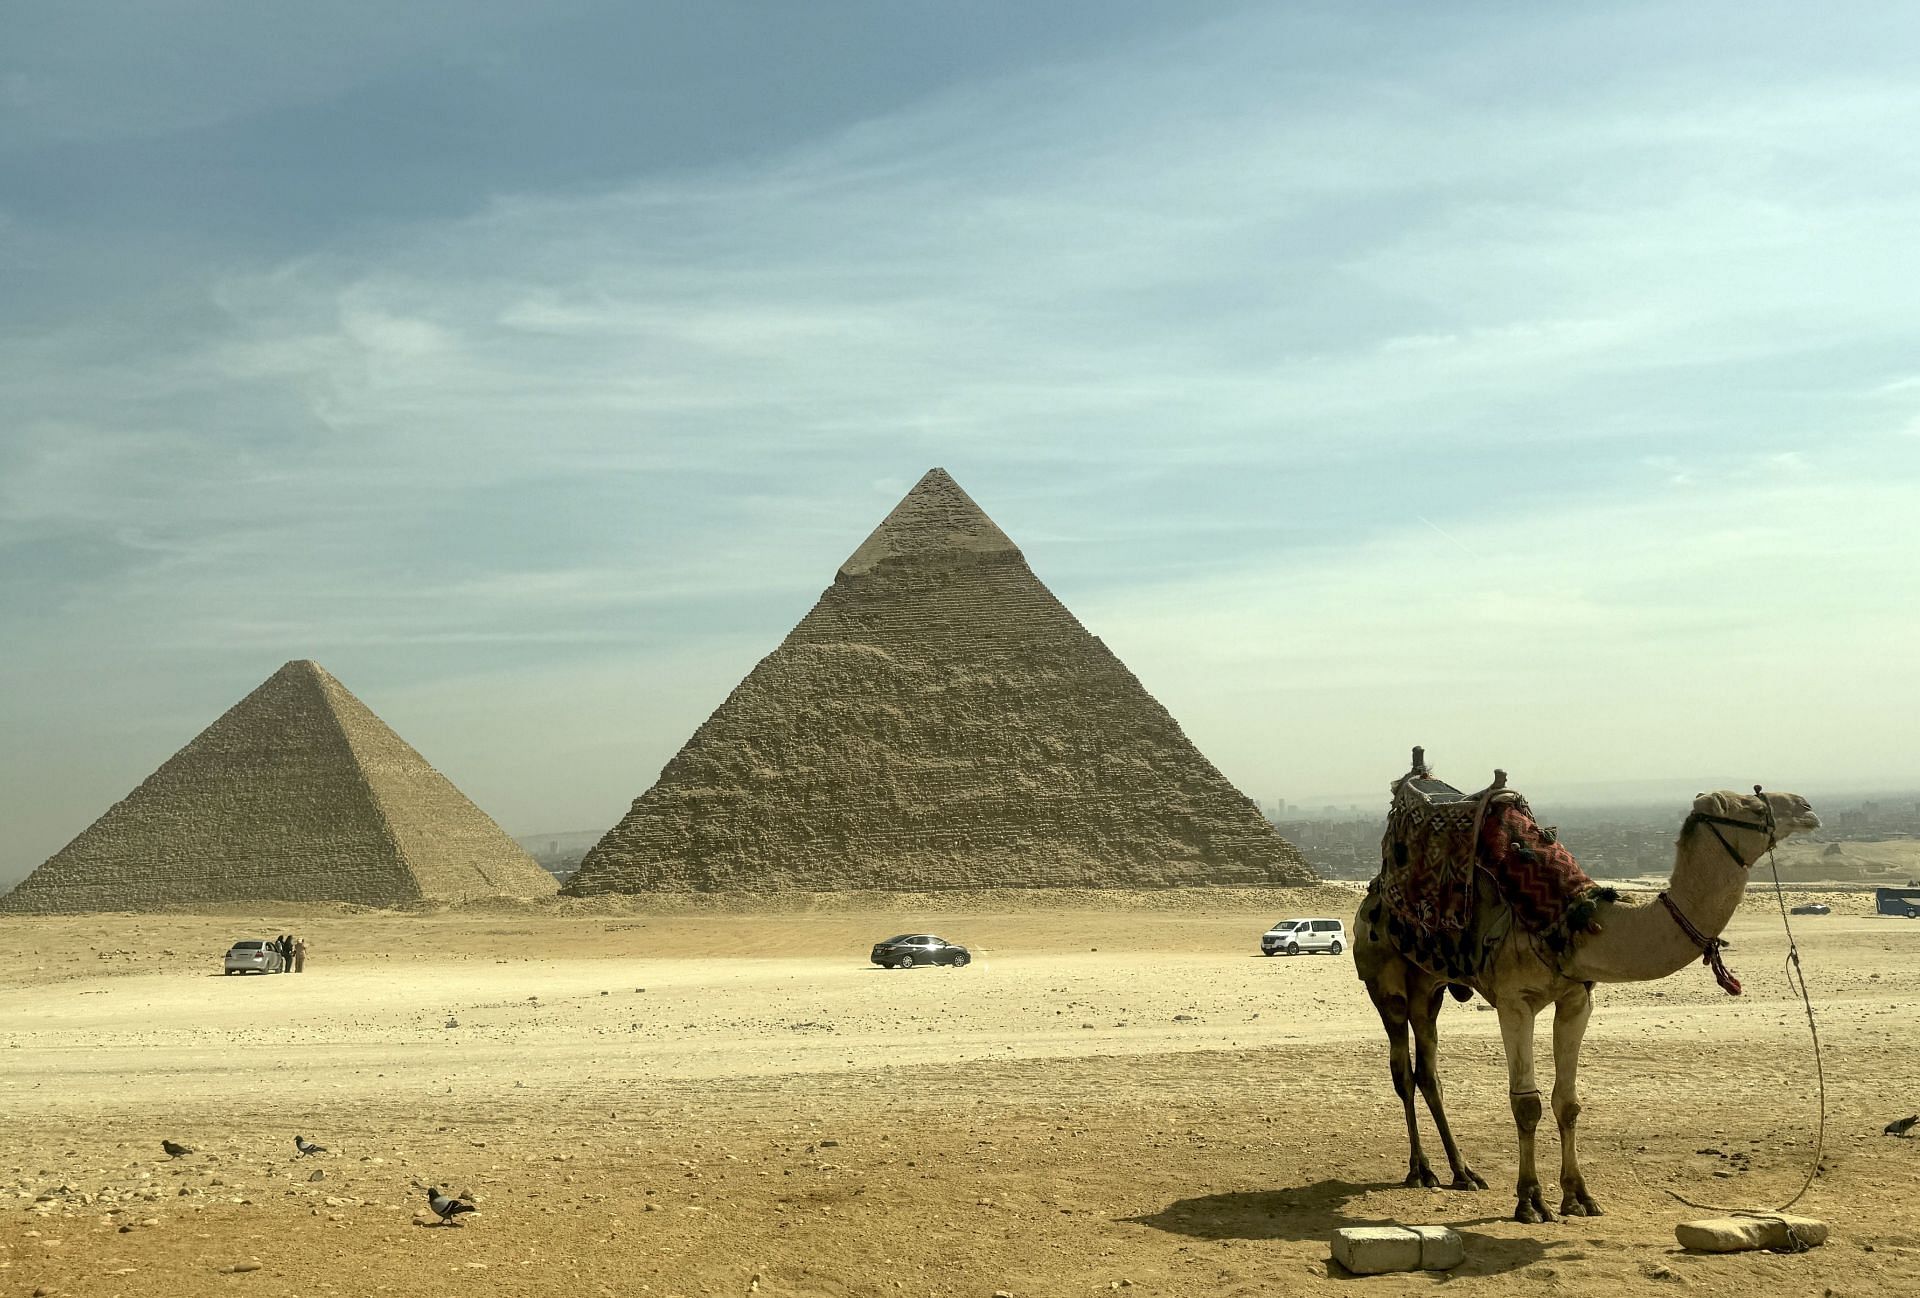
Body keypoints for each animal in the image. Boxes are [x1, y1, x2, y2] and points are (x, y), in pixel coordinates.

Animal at [1359, 787, 1820, 1221]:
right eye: (1752, 806)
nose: (1806, 807)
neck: (1574, 922)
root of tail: (1374, 893)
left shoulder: (1576, 998)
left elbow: (1568, 1102)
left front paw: (1578, 1196)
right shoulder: (1514, 1001)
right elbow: (1526, 1103)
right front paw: (1530, 1201)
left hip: (1430, 987)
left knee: (1429, 1073)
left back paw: (1463, 1172)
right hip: (1386, 984)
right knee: (1403, 1071)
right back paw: (1421, 1170)